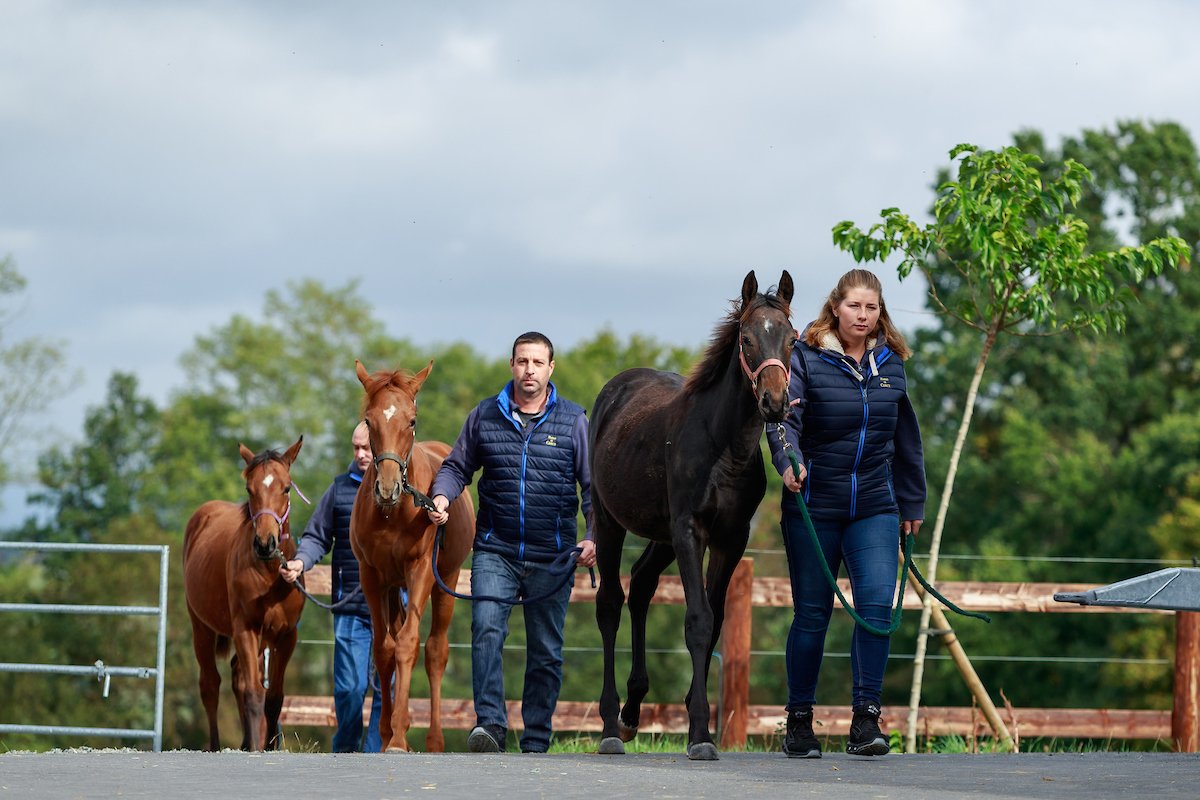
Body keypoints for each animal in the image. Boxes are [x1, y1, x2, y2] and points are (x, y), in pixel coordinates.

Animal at [182, 436, 308, 751]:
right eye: (249, 489)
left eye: (286, 488)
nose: (265, 543)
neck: (270, 575)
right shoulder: (246, 629)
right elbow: (253, 693)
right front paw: (254, 748)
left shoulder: (285, 636)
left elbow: (274, 699)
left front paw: (268, 745)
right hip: (201, 628)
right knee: (210, 685)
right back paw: (217, 745)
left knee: (237, 677)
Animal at [349, 359, 475, 752]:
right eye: (369, 420)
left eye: (412, 420)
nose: (387, 488)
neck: (396, 512)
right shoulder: (372, 576)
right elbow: (384, 649)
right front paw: (387, 732)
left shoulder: (421, 571)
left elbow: (408, 644)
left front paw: (401, 737)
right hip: (394, 586)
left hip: (446, 578)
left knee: (435, 651)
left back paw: (434, 739)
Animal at [590, 269, 795, 760]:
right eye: (746, 339)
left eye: (792, 339)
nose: (774, 402)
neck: (725, 448)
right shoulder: (689, 531)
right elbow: (698, 620)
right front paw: (701, 732)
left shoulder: (730, 538)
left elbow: (716, 620)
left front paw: (693, 720)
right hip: (611, 523)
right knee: (610, 603)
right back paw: (610, 724)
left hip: (660, 534)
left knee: (642, 584)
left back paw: (631, 714)